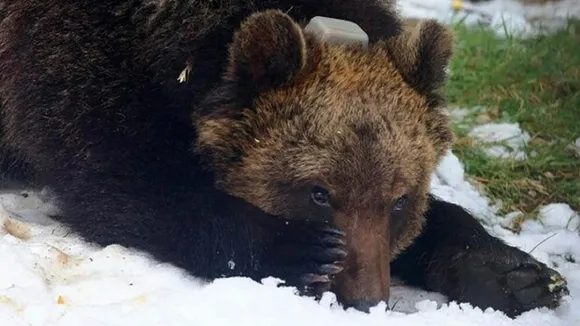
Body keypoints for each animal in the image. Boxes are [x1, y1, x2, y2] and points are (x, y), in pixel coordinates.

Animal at [0, 0, 572, 318]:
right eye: (318, 193)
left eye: (399, 201)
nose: (367, 299)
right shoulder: (75, 67)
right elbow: (127, 182)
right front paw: (299, 247)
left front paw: (520, 276)